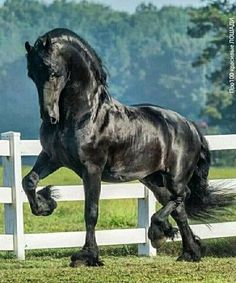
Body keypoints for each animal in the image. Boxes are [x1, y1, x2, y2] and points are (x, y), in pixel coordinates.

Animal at [22, 28, 225, 266]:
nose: (50, 117)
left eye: (53, 72)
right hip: (153, 179)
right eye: (31, 74)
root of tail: (190, 125)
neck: (83, 114)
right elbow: (29, 181)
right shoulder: (52, 157)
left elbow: (91, 211)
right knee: (179, 208)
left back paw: (158, 233)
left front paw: (87, 256)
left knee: (181, 195)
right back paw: (189, 251)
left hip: (174, 176)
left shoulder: (92, 168)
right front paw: (47, 204)